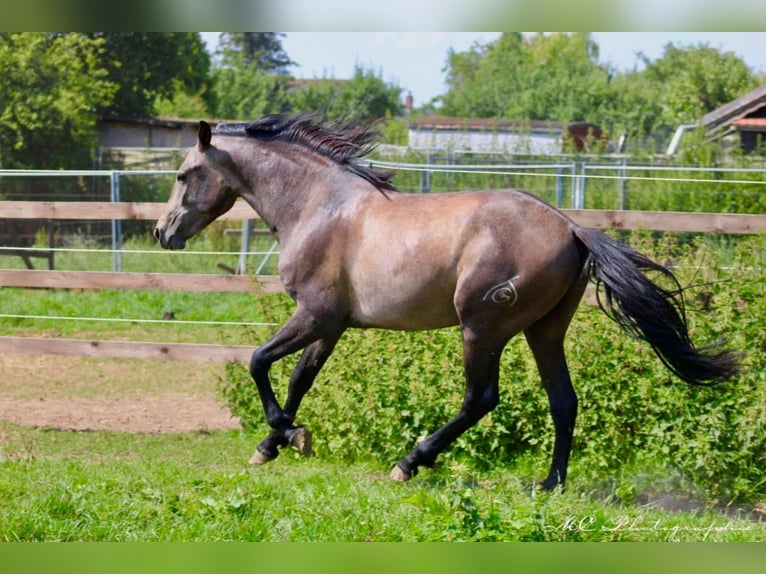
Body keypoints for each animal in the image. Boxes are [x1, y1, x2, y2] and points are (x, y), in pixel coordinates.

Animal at [153, 112, 740, 490]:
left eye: (183, 175)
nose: (162, 233)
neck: (320, 207)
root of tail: (572, 227)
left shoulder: (315, 314)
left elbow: (258, 362)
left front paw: (286, 436)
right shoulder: (333, 323)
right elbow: (299, 377)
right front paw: (278, 444)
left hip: (482, 326)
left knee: (480, 398)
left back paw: (410, 462)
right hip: (545, 330)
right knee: (564, 400)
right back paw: (550, 483)